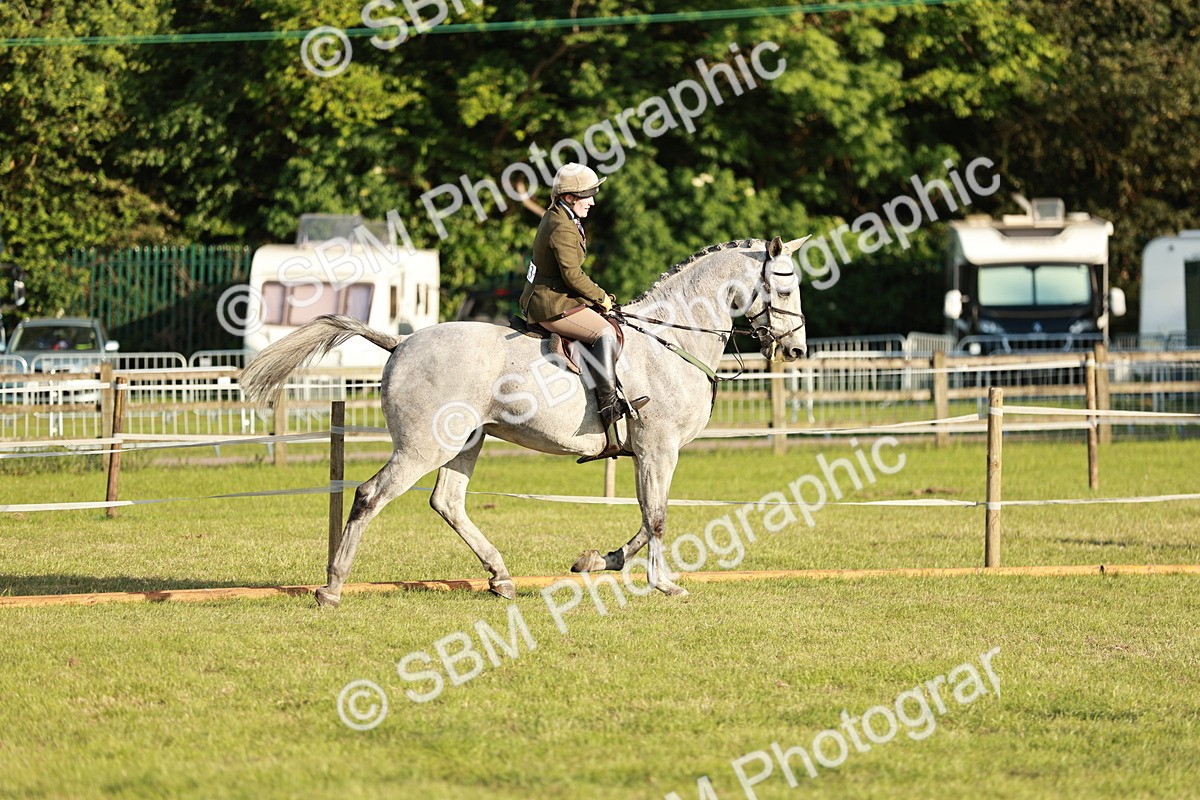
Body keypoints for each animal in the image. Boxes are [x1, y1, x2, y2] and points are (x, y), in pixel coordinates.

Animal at [239, 235, 810, 607]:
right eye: (783, 290)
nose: (797, 350)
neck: (672, 338)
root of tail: (401, 341)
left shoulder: (649, 452)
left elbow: (646, 518)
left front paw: (598, 561)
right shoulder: (658, 448)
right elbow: (658, 517)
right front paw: (663, 584)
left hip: (465, 441)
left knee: (447, 502)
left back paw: (500, 578)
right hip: (423, 446)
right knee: (370, 495)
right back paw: (332, 587)